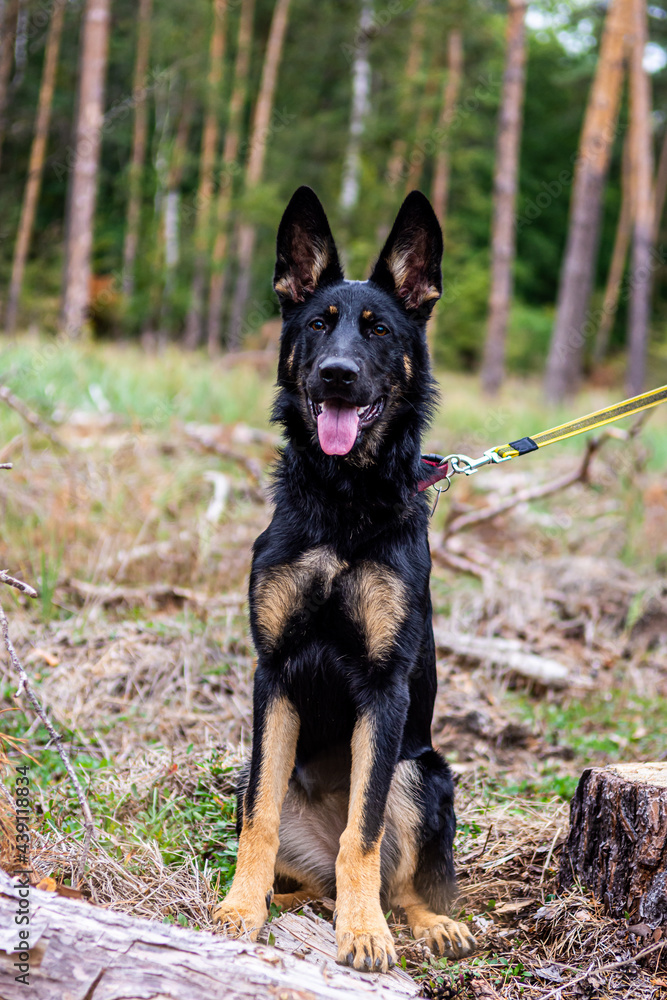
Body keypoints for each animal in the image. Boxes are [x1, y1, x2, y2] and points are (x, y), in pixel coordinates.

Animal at [213, 186, 474, 968]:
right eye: (317, 325)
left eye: (379, 329)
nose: (336, 374)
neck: (342, 501)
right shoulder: (274, 674)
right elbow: (260, 820)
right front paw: (241, 908)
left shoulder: (383, 689)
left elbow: (363, 831)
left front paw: (363, 933)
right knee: (302, 861)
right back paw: (289, 899)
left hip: (423, 772)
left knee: (394, 877)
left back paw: (421, 921)